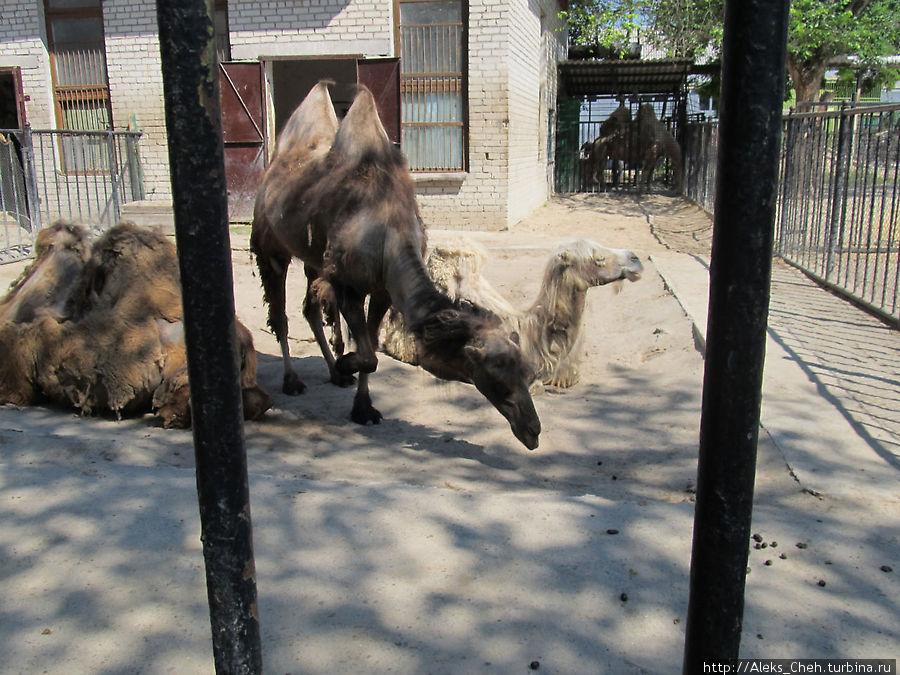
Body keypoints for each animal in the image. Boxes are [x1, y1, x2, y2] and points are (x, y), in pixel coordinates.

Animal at [248, 84, 540, 452]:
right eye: (498, 380)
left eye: (528, 374)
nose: (533, 430)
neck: (387, 227)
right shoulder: (349, 285)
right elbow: (369, 355)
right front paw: (348, 366)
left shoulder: (382, 290)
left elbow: (371, 347)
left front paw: (363, 406)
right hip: (270, 246)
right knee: (280, 315)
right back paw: (293, 380)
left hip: (313, 258)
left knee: (309, 308)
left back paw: (335, 374)